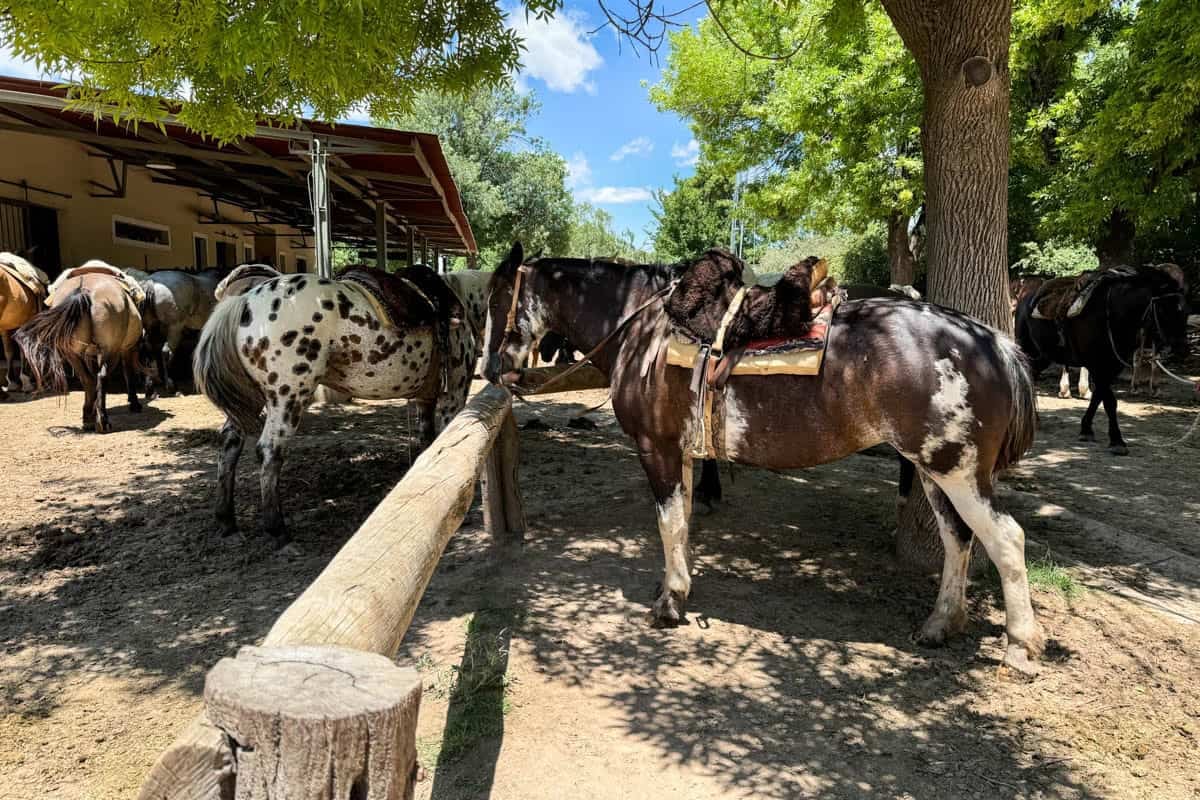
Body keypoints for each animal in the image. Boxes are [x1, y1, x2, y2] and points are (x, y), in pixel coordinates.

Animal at [15, 261, 146, 431]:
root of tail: (82, 291)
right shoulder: (127, 349)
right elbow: (128, 374)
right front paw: (134, 403)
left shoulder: (89, 353)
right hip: (110, 350)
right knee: (102, 377)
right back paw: (102, 421)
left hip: (72, 353)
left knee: (87, 379)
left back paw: (88, 417)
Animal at [192, 265, 475, 545]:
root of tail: (243, 301)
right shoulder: (453, 397)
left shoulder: (425, 399)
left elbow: (428, 442)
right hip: (287, 398)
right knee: (269, 452)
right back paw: (278, 531)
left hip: (249, 402)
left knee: (229, 444)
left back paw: (227, 521)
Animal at [483, 243, 1045, 675]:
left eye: (494, 299)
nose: (492, 369)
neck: (643, 330)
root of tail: (992, 341)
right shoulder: (681, 452)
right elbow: (683, 521)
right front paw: (680, 584)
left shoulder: (655, 448)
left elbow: (667, 522)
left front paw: (669, 602)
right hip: (933, 470)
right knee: (958, 538)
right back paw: (941, 624)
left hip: (958, 472)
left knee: (1006, 539)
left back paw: (1020, 646)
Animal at [1016, 265, 1190, 455]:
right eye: (1164, 310)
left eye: (1185, 311)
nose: (1182, 350)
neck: (1113, 314)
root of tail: (1025, 300)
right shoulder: (1097, 364)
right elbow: (1109, 401)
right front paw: (1117, 441)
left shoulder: (1112, 366)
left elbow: (1098, 396)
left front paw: (1086, 430)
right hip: (1027, 349)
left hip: (1045, 355)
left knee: (1033, 374)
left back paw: (1035, 418)